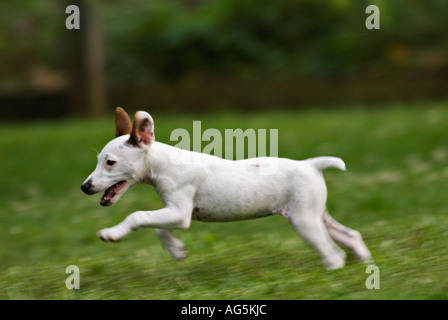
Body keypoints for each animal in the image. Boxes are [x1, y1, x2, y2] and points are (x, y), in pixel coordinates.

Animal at [82, 108, 372, 270]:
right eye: (98, 160)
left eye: (110, 162)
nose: (85, 187)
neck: (163, 164)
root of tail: (311, 165)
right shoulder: (174, 211)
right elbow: (157, 227)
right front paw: (176, 250)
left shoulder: (180, 213)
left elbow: (138, 216)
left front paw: (113, 233)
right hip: (314, 214)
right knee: (351, 236)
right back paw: (365, 262)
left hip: (305, 221)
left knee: (333, 253)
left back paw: (334, 270)